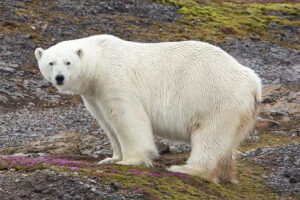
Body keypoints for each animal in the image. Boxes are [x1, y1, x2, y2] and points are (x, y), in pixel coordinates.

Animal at [34, 34, 260, 183]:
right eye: (50, 63)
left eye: (68, 62)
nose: (59, 78)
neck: (100, 60)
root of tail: (253, 82)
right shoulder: (94, 95)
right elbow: (107, 123)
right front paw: (111, 158)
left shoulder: (115, 78)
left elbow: (127, 117)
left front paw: (129, 161)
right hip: (239, 110)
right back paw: (225, 174)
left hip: (215, 97)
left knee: (210, 136)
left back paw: (186, 169)